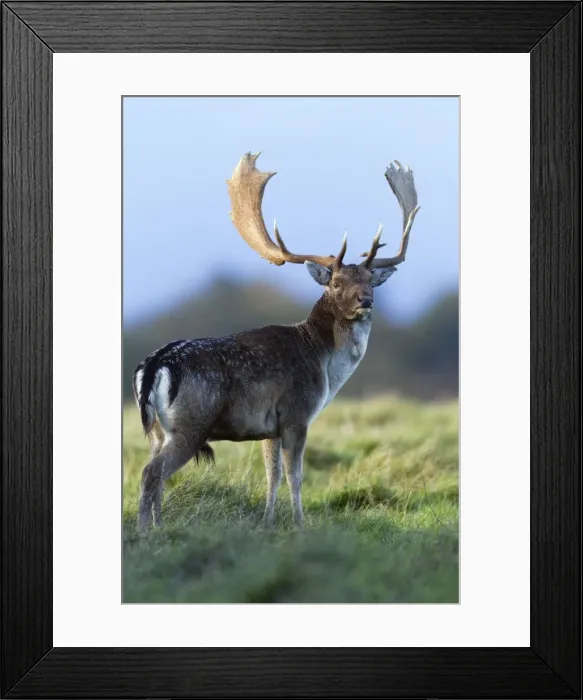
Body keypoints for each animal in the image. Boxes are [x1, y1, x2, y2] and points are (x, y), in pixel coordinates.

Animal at [133, 152, 419, 530]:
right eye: (336, 283)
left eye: (370, 280)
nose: (366, 300)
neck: (324, 365)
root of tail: (154, 366)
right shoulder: (297, 413)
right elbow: (295, 475)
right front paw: (300, 523)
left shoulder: (269, 426)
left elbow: (272, 475)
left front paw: (267, 521)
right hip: (191, 425)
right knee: (152, 473)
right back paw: (145, 531)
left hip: (156, 430)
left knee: (156, 474)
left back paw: (158, 524)